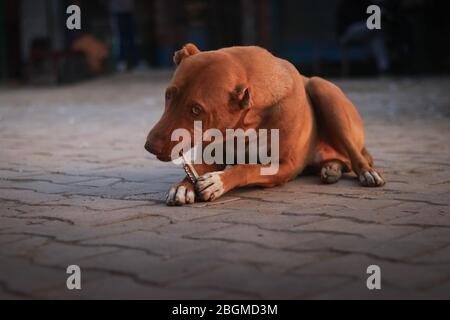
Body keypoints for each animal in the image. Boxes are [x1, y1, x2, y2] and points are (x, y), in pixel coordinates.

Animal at [146, 43, 384, 206]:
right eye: (168, 95)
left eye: (196, 110)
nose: (149, 147)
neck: (243, 125)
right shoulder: (212, 153)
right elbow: (195, 169)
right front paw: (183, 186)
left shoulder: (284, 165)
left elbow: (247, 168)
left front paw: (218, 181)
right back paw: (331, 168)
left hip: (322, 89)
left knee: (356, 155)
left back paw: (366, 173)